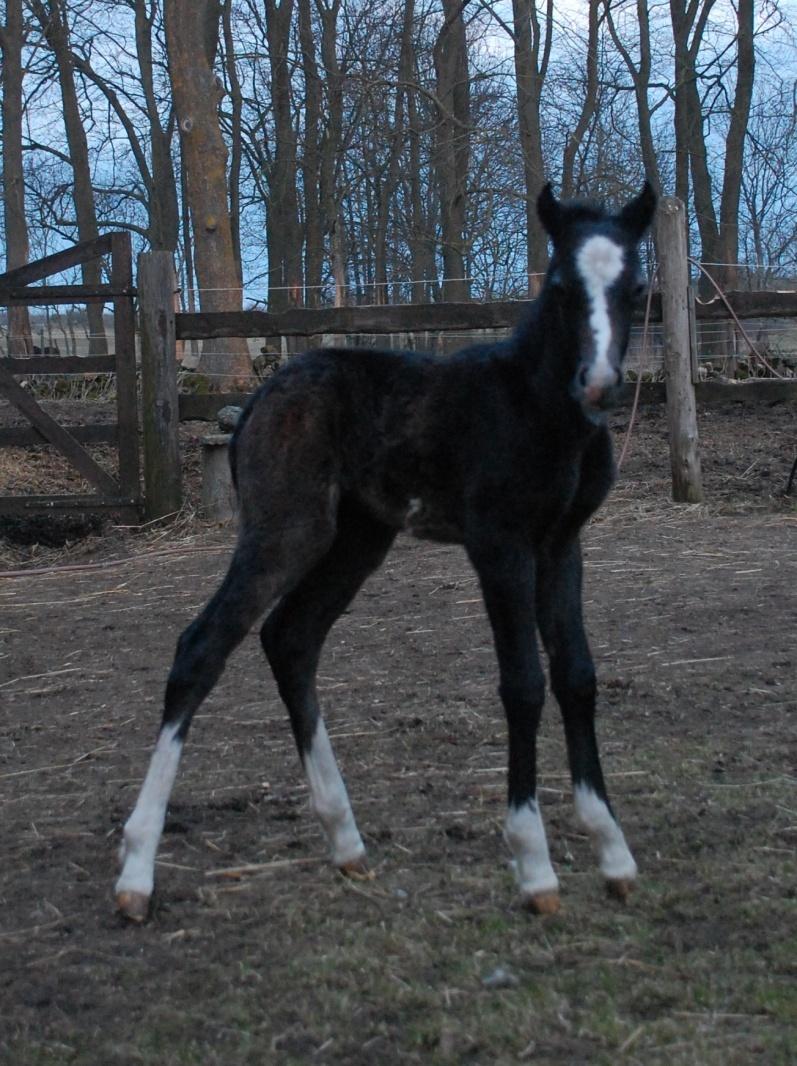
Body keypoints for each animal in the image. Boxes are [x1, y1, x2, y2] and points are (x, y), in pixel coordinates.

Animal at [116, 181, 652, 916]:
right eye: (562, 286)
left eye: (636, 287)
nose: (597, 383)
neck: (537, 406)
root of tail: (258, 397)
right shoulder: (499, 545)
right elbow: (522, 683)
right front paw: (534, 866)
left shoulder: (561, 544)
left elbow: (577, 675)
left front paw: (612, 853)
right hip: (285, 531)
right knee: (202, 647)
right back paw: (136, 871)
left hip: (357, 539)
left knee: (290, 638)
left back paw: (345, 841)